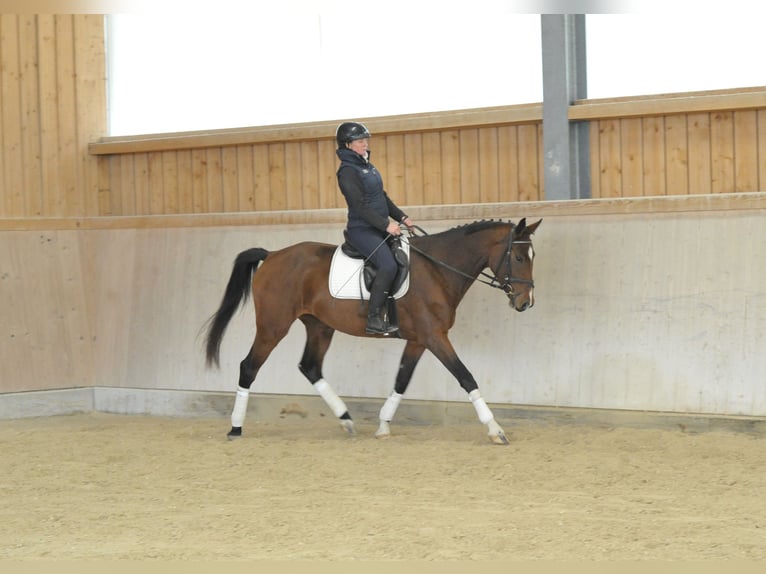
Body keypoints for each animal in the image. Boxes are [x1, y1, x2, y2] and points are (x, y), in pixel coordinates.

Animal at [203, 217, 541, 445]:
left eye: (531, 257)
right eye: (518, 257)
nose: (526, 302)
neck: (438, 269)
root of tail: (272, 255)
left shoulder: (419, 340)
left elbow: (402, 380)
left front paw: (383, 425)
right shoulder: (435, 337)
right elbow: (466, 377)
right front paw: (495, 429)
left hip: (319, 326)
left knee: (310, 367)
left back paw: (346, 420)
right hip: (273, 326)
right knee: (249, 367)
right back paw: (235, 427)